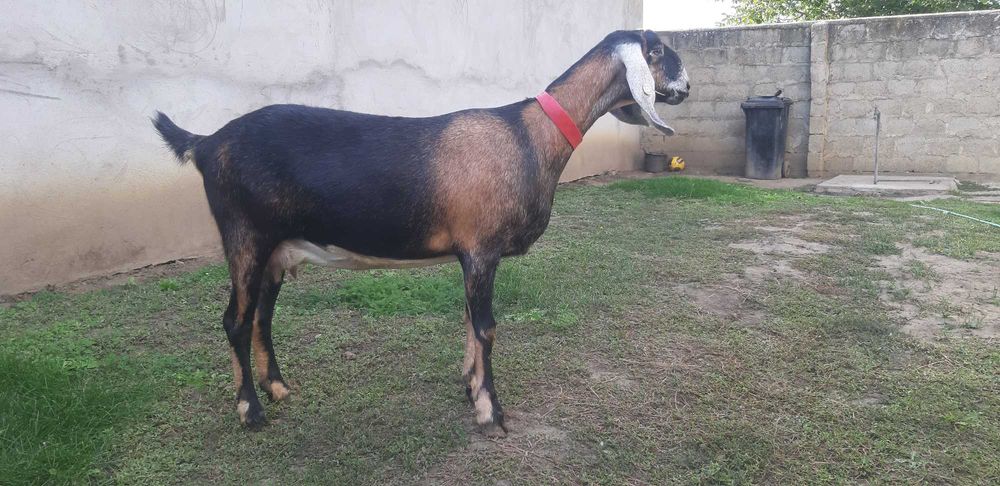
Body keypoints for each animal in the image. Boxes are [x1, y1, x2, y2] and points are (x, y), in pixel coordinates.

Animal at [153, 30, 688, 435]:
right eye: (659, 51)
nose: (685, 87)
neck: (528, 136)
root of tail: (205, 143)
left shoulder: (470, 255)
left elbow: (469, 322)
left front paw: (470, 388)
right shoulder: (482, 249)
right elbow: (486, 327)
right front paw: (491, 413)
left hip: (276, 250)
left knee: (262, 317)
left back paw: (278, 388)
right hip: (245, 237)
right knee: (236, 322)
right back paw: (251, 411)